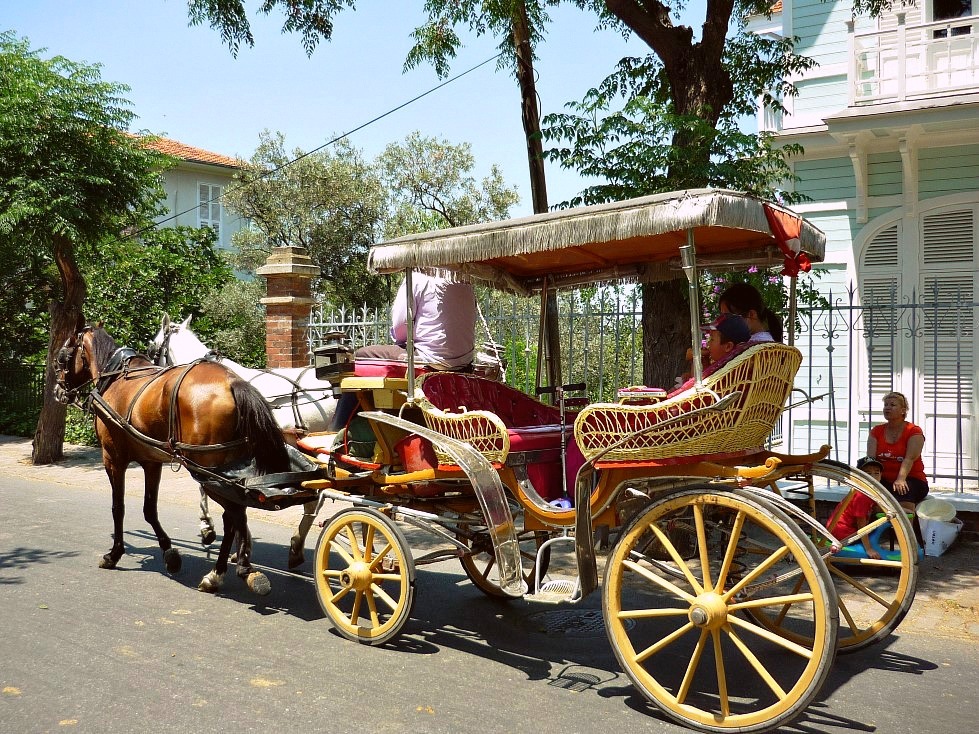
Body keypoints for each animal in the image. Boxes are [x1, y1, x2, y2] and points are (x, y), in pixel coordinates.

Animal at [56, 324, 290, 596]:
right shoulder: (151, 462)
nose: (57, 390)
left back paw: (230, 571)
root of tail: (232, 382)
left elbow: (118, 507)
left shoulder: (113, 458)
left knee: (233, 515)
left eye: (62, 357)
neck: (115, 377)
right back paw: (229, 569)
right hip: (227, 470)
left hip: (207, 470)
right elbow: (149, 509)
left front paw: (114, 554)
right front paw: (169, 553)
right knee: (234, 515)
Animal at [149, 316, 336, 568]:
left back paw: (297, 546)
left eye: (153, 347)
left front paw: (209, 527)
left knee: (314, 500)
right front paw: (240, 546)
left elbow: (207, 487)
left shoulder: (209, 452)